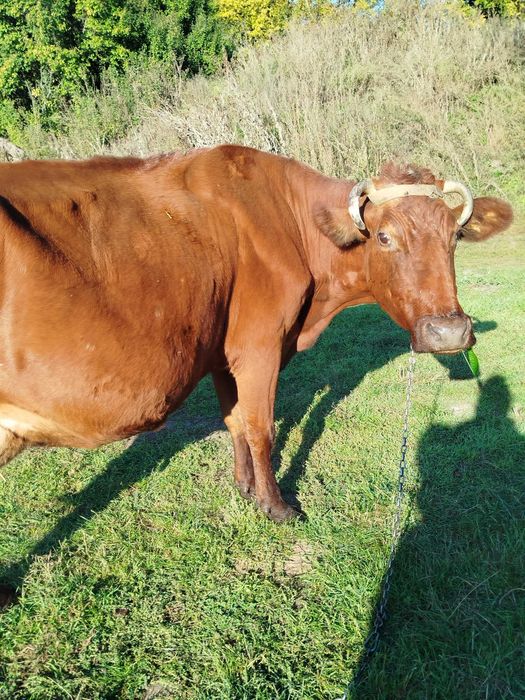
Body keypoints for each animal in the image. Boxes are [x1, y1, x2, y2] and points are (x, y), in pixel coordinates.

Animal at [0, 145, 513, 522]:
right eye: (385, 237)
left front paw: (245, 487)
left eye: (455, 236)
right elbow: (260, 426)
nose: (449, 331)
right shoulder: (259, 344)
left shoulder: (225, 353)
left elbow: (235, 421)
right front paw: (276, 505)